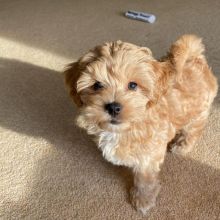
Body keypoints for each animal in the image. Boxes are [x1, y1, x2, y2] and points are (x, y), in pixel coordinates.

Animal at [64, 35, 218, 215]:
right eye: (97, 85)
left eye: (133, 85)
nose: (113, 107)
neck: (128, 127)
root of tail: (195, 59)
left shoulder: (149, 157)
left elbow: (144, 180)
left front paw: (143, 200)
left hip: (198, 113)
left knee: (193, 130)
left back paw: (181, 146)